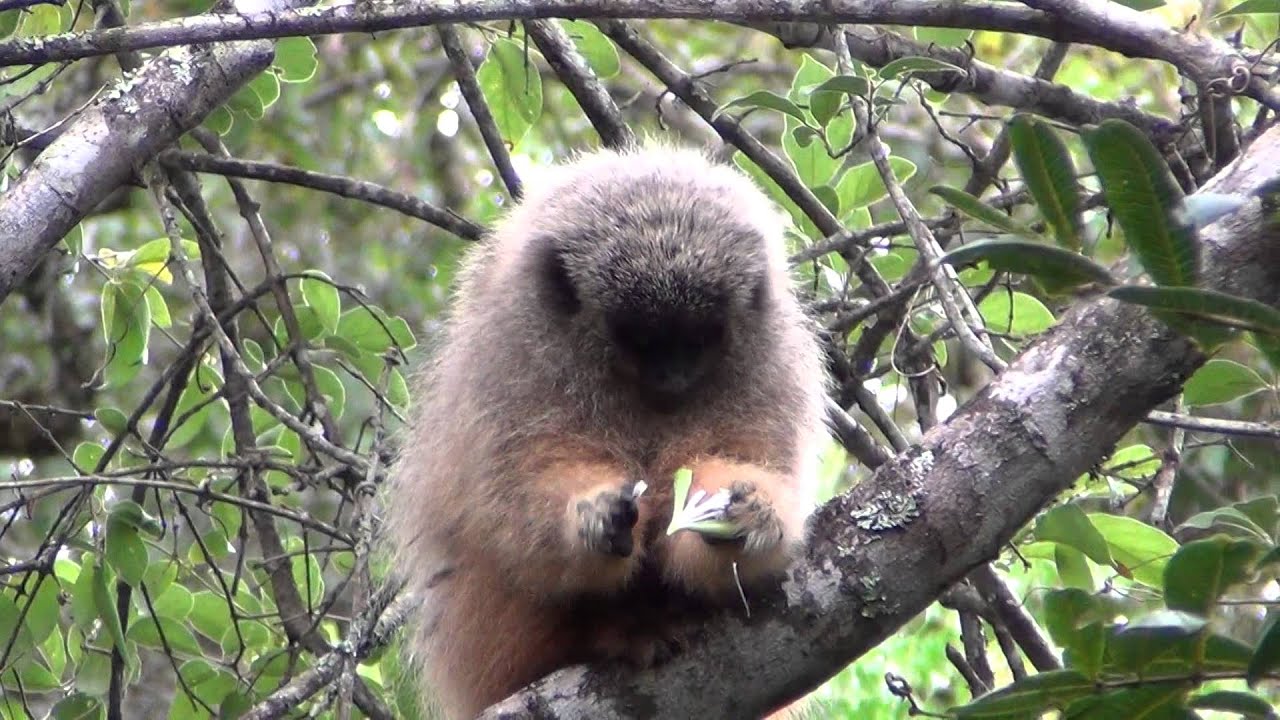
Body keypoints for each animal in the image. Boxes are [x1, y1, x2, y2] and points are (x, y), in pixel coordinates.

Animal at [383, 143, 831, 720]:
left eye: (699, 337)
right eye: (641, 338)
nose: (673, 373)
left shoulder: (773, 364)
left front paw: (749, 514)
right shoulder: (511, 355)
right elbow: (512, 504)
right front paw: (590, 517)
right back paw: (619, 632)